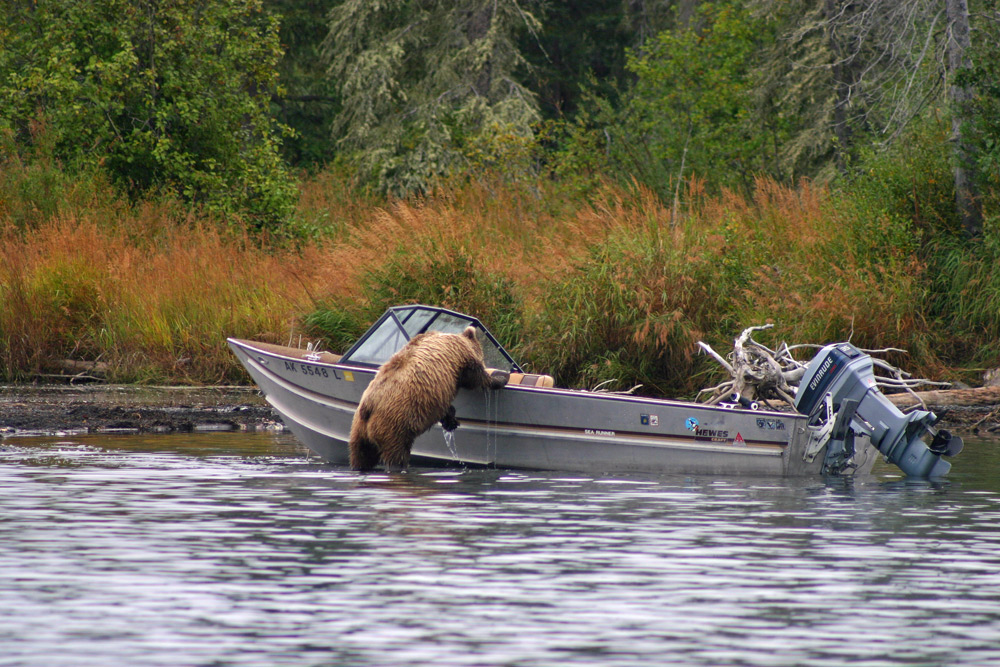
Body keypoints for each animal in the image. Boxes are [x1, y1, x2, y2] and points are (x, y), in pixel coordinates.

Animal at [350, 324, 508, 470]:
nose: (486, 362)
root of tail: (368, 406)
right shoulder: (460, 359)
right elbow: (476, 377)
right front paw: (500, 379)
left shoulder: (436, 397)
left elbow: (445, 408)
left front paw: (451, 421)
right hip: (393, 422)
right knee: (397, 453)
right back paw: (400, 467)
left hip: (358, 429)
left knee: (361, 455)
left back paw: (359, 467)